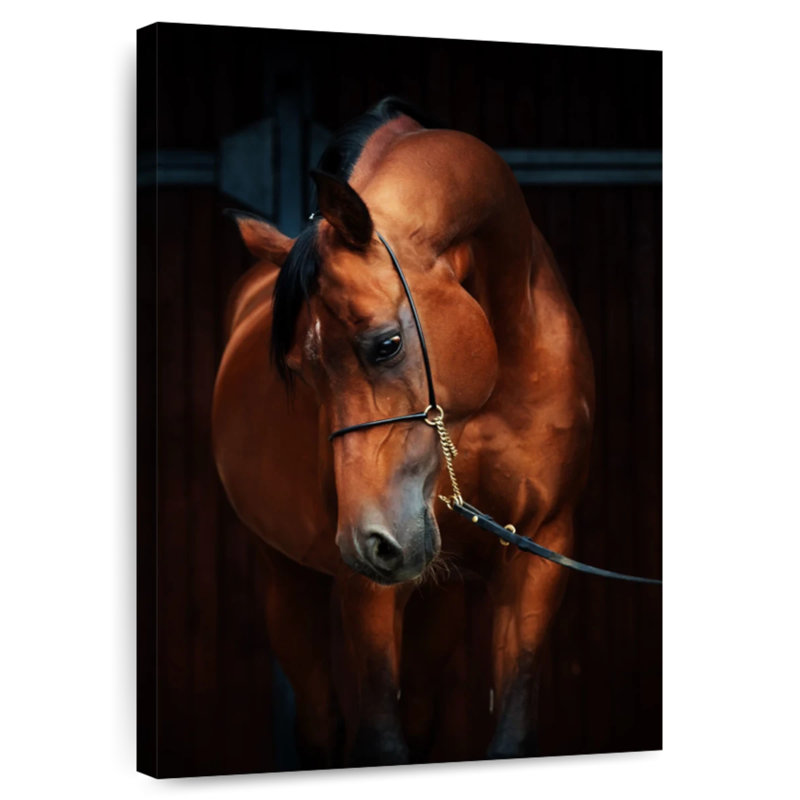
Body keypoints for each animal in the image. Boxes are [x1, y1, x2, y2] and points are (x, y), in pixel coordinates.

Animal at [212, 97, 594, 767]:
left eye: (387, 343)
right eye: (299, 371)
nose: (370, 543)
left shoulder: (542, 550)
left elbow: (509, 733)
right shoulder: (364, 590)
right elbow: (380, 741)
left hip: (436, 596)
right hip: (287, 579)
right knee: (320, 722)